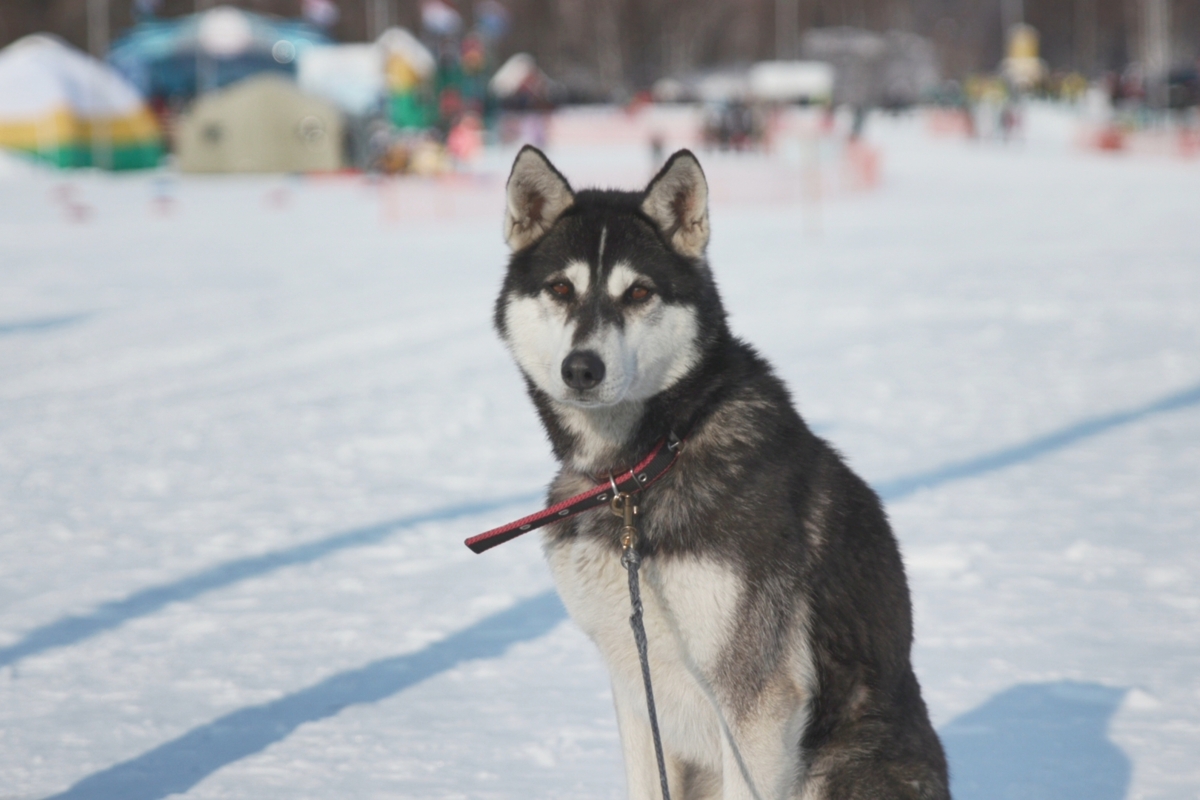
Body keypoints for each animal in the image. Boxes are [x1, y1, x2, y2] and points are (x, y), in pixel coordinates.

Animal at [492, 145, 950, 800]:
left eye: (639, 292)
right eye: (560, 287)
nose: (581, 368)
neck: (644, 467)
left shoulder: (756, 701)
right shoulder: (633, 686)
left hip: (842, 765)